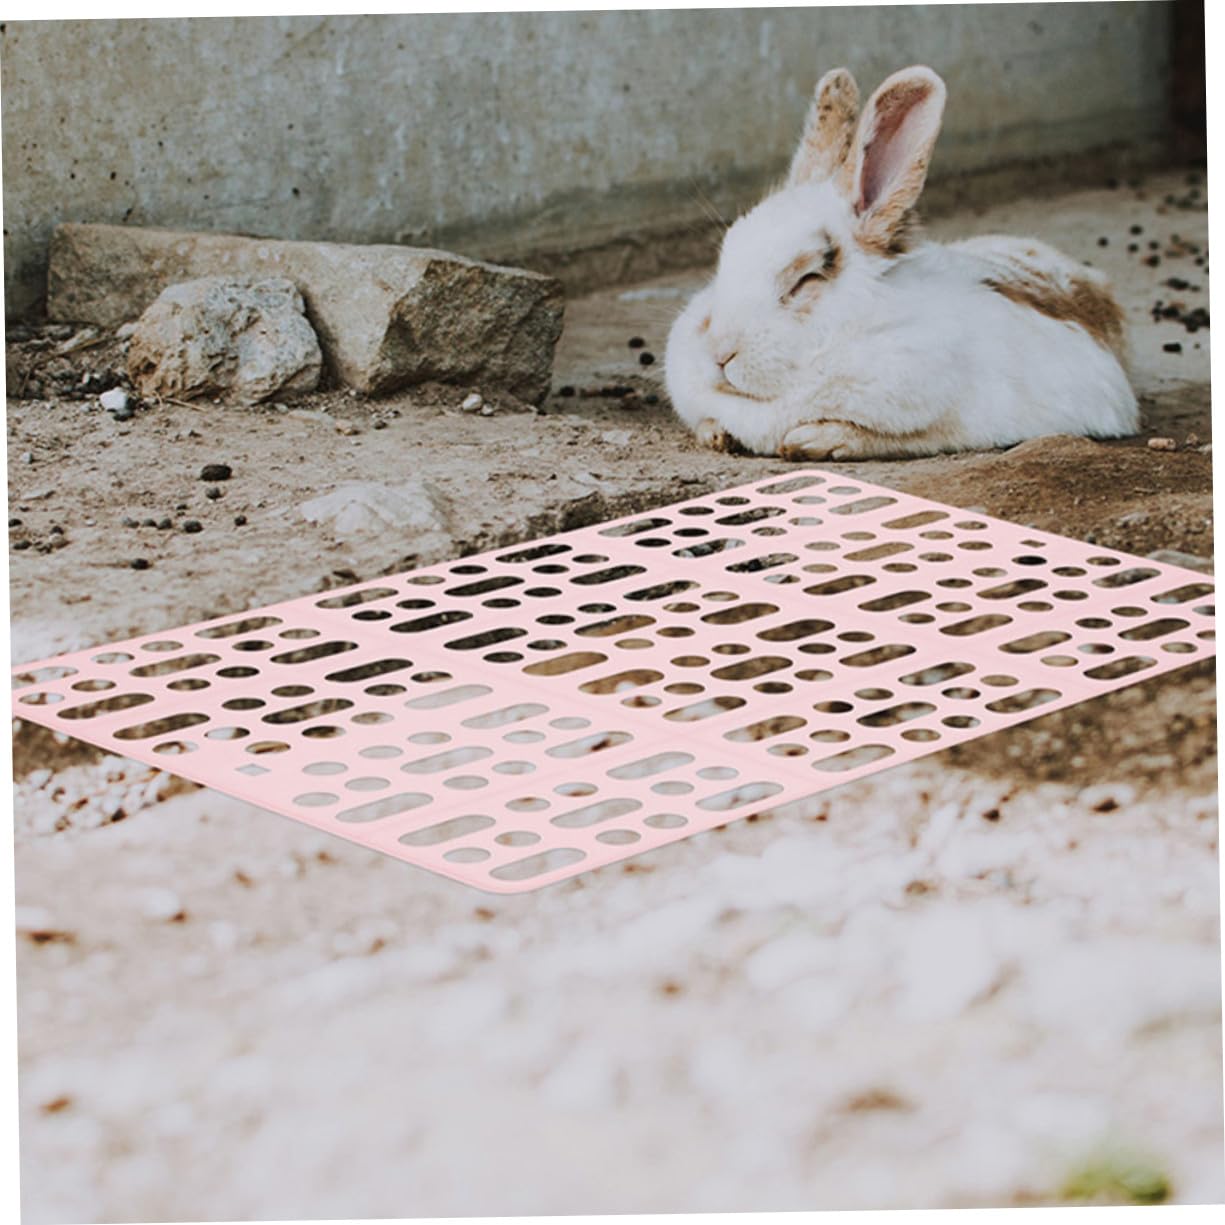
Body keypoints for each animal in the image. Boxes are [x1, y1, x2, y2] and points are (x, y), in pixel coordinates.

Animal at [664, 65, 1138, 460]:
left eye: (806, 279)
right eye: (726, 256)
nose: (719, 353)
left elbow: (896, 435)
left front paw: (816, 440)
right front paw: (715, 433)